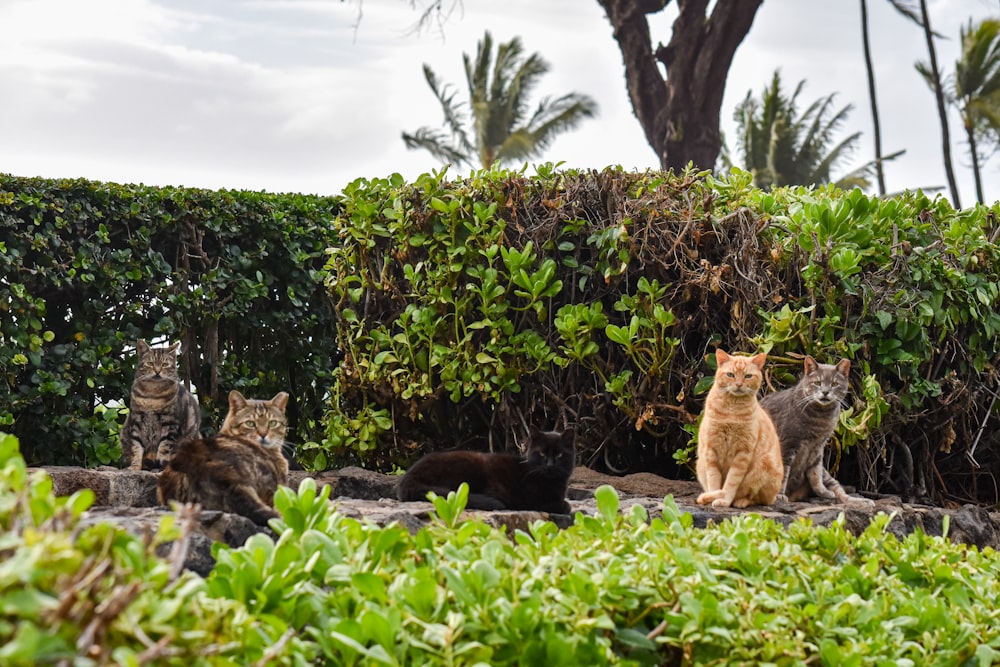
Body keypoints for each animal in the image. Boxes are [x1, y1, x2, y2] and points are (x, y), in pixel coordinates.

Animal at [120, 342, 200, 472]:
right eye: (150, 363)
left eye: (164, 364)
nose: (157, 371)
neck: (152, 395)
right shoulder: (136, 420)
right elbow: (136, 446)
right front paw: (135, 466)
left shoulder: (169, 423)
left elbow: (164, 447)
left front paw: (161, 466)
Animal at [394, 426, 576, 516]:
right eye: (542, 454)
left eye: (559, 454)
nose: (550, 465)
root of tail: (408, 478)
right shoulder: (531, 501)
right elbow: (564, 504)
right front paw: (564, 506)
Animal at [696, 350, 780, 506]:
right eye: (730, 374)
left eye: (748, 376)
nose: (739, 384)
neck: (732, 410)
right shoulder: (711, 450)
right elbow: (714, 480)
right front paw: (714, 496)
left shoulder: (742, 453)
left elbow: (731, 482)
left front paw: (724, 500)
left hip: (764, 467)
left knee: (757, 499)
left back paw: (741, 501)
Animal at [760, 354, 872, 506]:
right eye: (818, 383)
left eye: (834, 384)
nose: (825, 392)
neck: (821, 419)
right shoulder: (787, 444)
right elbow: (783, 472)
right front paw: (779, 495)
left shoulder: (818, 448)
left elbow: (815, 473)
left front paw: (823, 491)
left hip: (827, 475)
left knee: (840, 492)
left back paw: (862, 501)